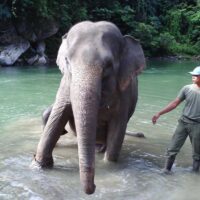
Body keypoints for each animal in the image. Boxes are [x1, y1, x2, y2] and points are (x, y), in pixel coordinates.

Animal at [31, 21, 146, 195]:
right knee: (47, 113)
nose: (95, 187)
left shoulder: (124, 90)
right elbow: (58, 115)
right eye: (67, 61)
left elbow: (118, 128)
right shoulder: (65, 81)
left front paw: (109, 166)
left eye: (108, 65)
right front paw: (39, 165)